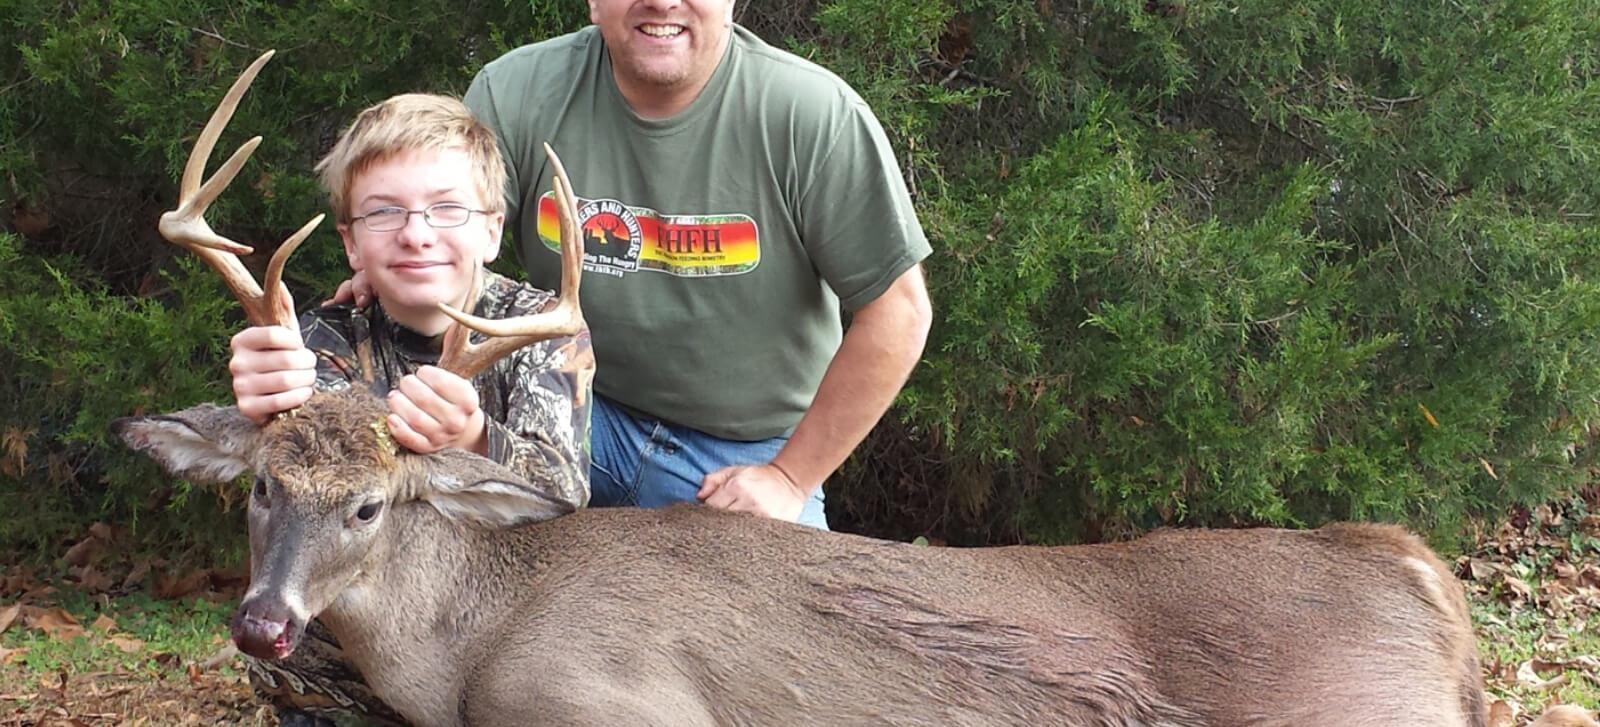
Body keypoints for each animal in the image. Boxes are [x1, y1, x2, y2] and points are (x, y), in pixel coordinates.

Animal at [109, 51, 1497, 727]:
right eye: (259, 486)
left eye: (370, 505)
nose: (263, 625)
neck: (471, 650)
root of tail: (1414, 572)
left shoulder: (615, 705)